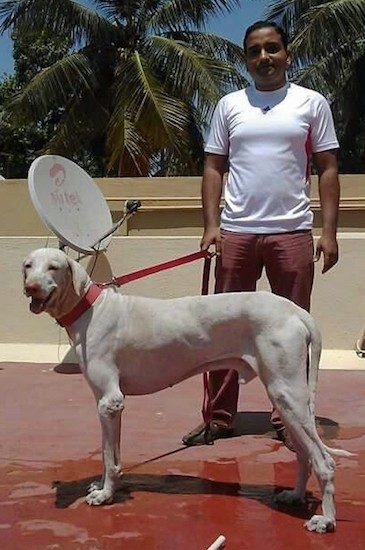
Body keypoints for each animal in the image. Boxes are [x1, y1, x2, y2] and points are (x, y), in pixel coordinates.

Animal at [22, 250, 350, 536]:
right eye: (28, 265)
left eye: (53, 267)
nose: (30, 287)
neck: (90, 308)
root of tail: (296, 310)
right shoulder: (109, 405)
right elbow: (110, 452)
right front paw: (104, 487)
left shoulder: (109, 403)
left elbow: (107, 457)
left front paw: (105, 495)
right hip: (285, 399)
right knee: (305, 455)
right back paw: (294, 495)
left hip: (287, 394)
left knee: (325, 461)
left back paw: (326, 520)